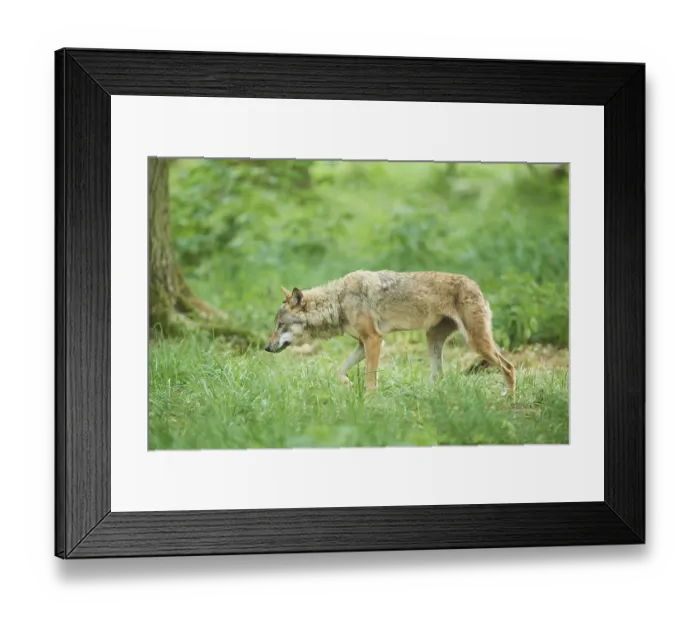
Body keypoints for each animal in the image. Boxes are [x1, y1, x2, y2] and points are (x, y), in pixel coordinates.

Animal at [264, 270, 516, 393]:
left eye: (280, 325)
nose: (266, 347)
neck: (339, 300)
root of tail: (475, 284)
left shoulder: (374, 341)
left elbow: (370, 379)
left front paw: (370, 402)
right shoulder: (362, 345)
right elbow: (339, 371)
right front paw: (349, 387)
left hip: (475, 342)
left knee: (509, 367)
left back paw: (508, 399)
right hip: (432, 340)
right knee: (439, 376)